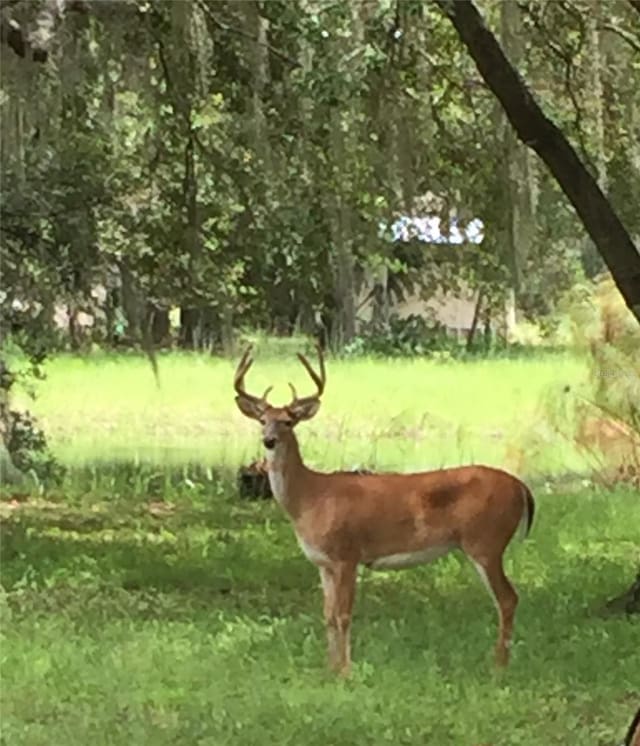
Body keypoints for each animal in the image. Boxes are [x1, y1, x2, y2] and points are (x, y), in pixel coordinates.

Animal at [235, 342, 536, 676]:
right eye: (262, 420)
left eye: (288, 421)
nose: (269, 440)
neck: (309, 498)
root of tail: (521, 487)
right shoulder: (322, 563)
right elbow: (327, 615)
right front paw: (329, 668)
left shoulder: (347, 554)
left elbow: (343, 614)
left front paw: (346, 672)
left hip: (486, 541)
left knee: (508, 598)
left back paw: (499, 666)